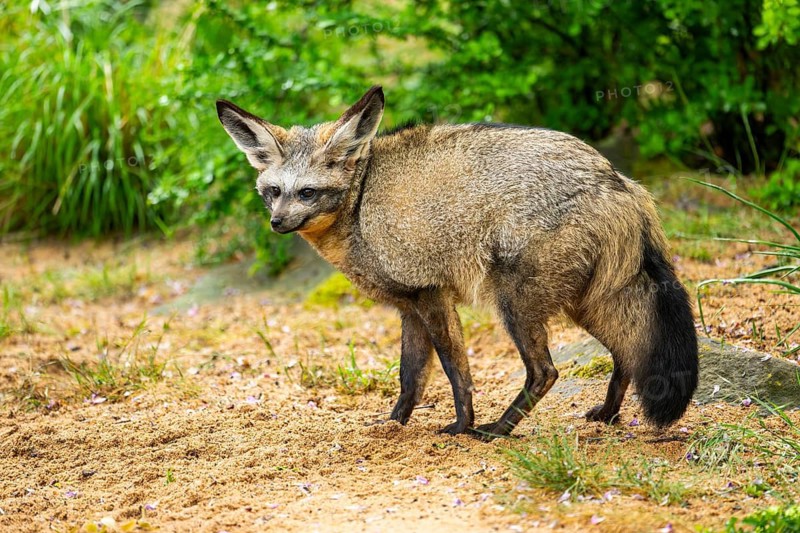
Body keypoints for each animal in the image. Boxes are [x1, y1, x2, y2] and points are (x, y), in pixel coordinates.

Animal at [215, 86, 699, 439]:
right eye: (273, 192)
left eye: (307, 192)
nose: (277, 223)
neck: (360, 204)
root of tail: (617, 179)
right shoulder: (410, 306)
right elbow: (410, 378)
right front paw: (391, 427)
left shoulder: (430, 295)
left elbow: (454, 371)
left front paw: (461, 425)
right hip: (583, 304)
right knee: (626, 353)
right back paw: (608, 415)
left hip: (516, 304)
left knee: (546, 372)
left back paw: (498, 429)